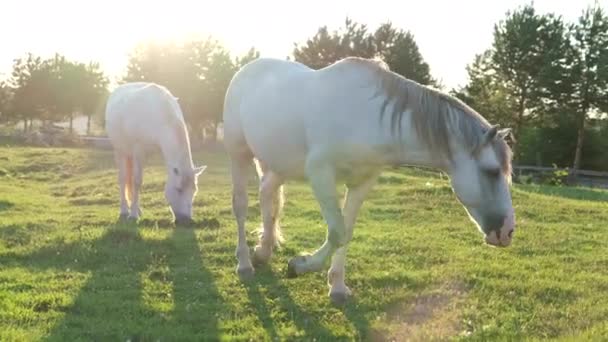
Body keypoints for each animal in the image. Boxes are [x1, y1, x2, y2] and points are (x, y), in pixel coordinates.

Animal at [104, 81, 207, 223]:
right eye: (179, 190)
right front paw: (133, 215)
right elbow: (137, 181)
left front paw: (136, 211)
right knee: (123, 178)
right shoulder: (138, 151)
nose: (186, 220)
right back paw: (125, 210)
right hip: (120, 150)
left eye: (194, 191)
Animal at [221, 56, 516, 304]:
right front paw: (299, 266)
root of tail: (247, 68)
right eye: (491, 171)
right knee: (241, 205)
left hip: (279, 165)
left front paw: (337, 287)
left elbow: (346, 232)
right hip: (238, 153)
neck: (366, 119)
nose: (507, 232)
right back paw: (245, 263)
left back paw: (263, 251)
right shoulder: (320, 174)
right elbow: (337, 232)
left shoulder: (362, 183)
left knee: (267, 197)